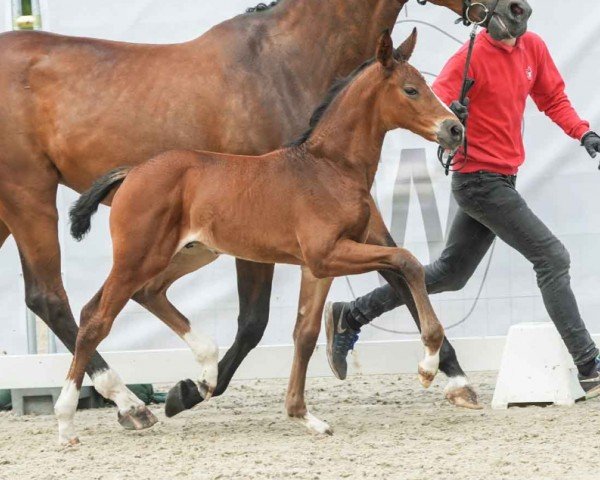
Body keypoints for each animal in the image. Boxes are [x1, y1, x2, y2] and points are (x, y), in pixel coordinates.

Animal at [58, 29, 462, 442]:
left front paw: (304, 415)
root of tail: (133, 172)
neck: (330, 168)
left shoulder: (318, 267)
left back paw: (206, 371)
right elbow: (407, 261)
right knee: (95, 319)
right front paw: (428, 365)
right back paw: (67, 421)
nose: (454, 129)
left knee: (146, 293)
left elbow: (305, 332)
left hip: (191, 252)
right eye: (410, 89)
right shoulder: (326, 254)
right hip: (138, 256)